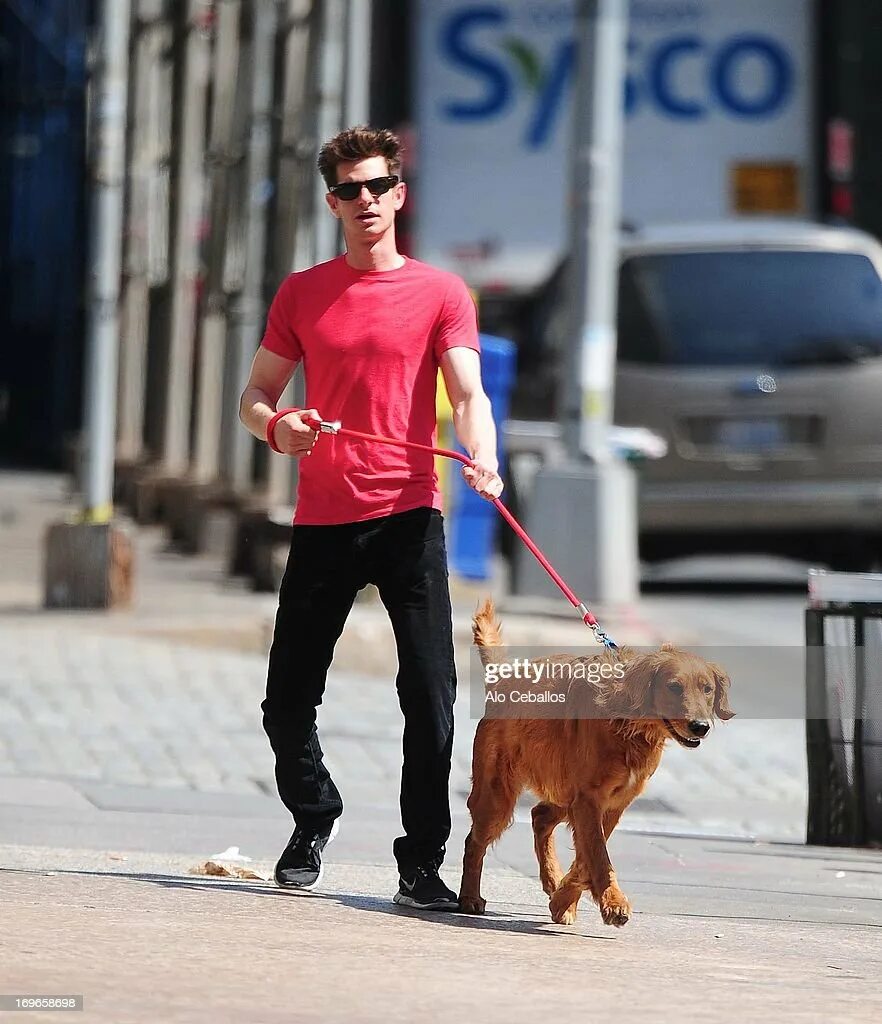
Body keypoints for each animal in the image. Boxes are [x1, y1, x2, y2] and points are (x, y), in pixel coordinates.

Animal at [456, 598, 733, 929]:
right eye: (674, 687)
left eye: (707, 689)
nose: (700, 726)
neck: (630, 724)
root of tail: (502, 680)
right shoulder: (589, 800)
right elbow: (598, 855)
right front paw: (612, 903)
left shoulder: (613, 803)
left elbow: (588, 857)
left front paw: (563, 898)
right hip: (498, 795)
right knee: (474, 842)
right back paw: (470, 897)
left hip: (563, 792)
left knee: (540, 816)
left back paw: (552, 880)